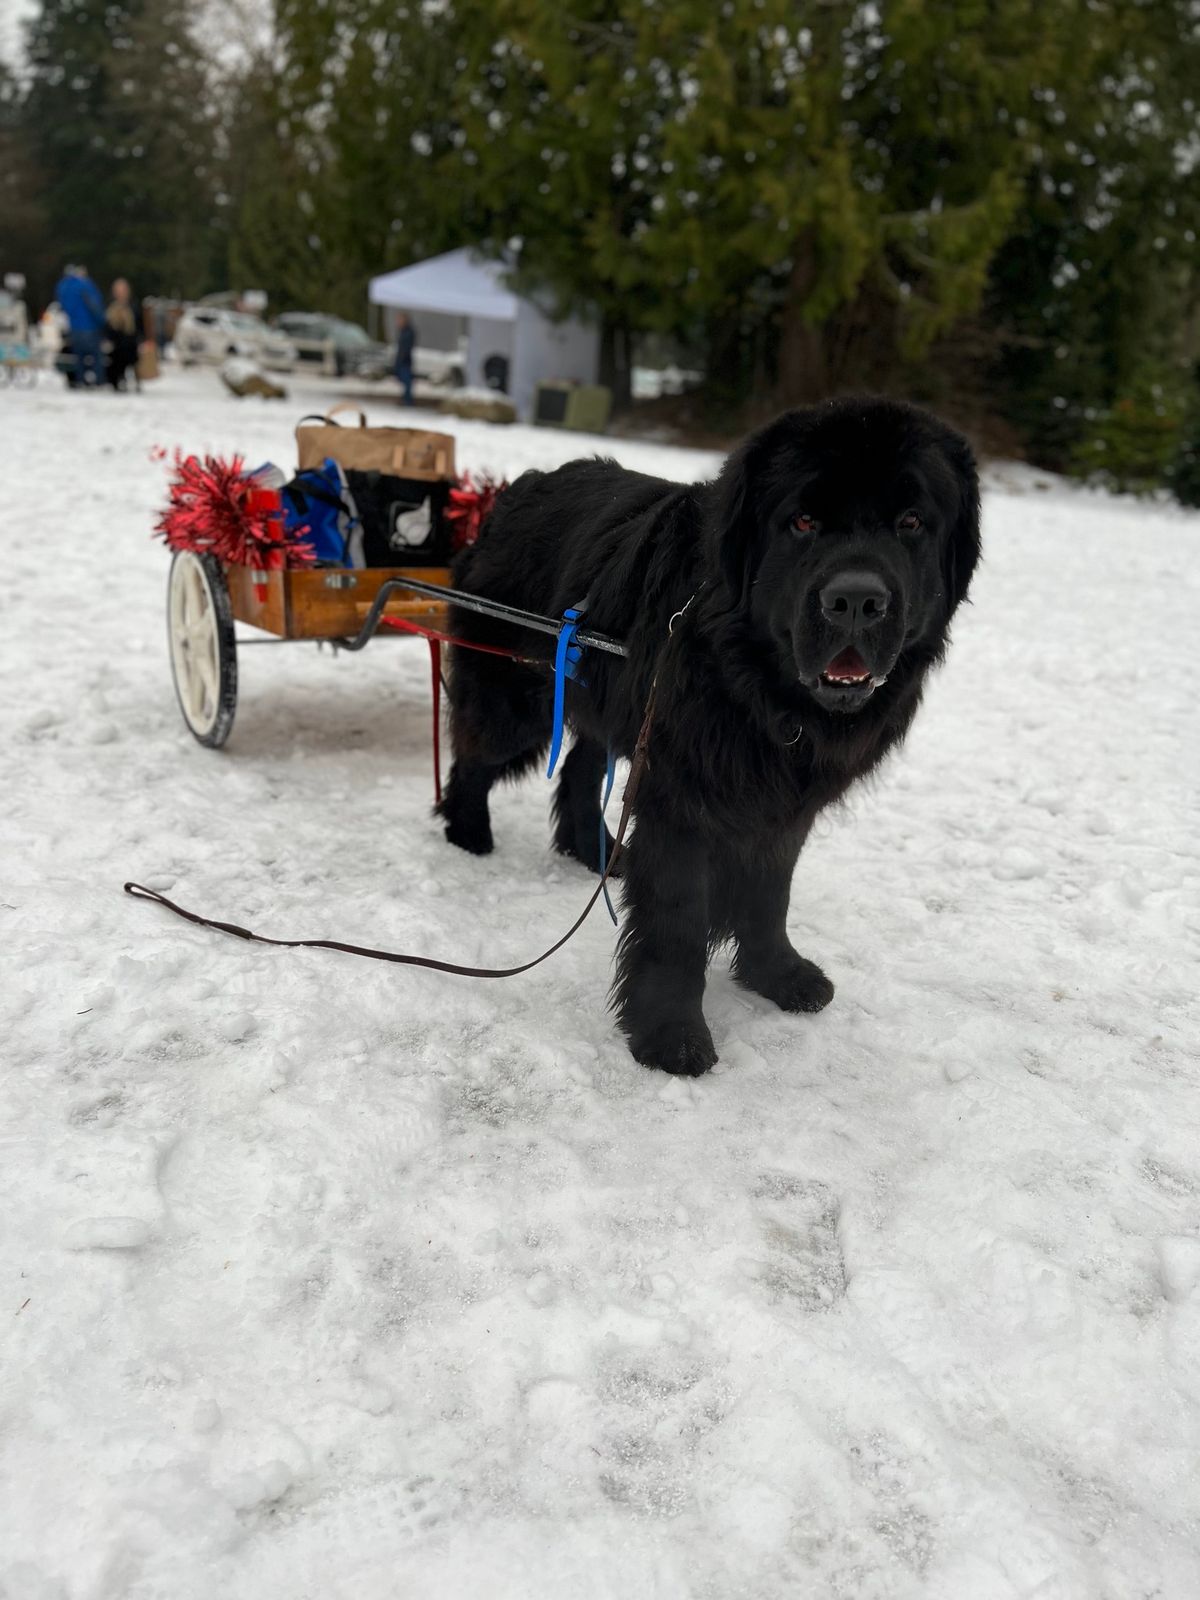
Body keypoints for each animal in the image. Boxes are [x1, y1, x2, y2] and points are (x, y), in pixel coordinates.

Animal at [438, 398, 979, 1075]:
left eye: (911, 521)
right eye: (802, 521)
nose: (855, 600)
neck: (756, 685)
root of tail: (514, 489)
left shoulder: (784, 806)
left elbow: (771, 892)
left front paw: (778, 975)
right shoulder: (682, 800)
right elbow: (678, 922)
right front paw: (671, 1034)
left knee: (583, 770)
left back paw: (597, 851)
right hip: (515, 700)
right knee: (475, 755)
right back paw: (468, 835)